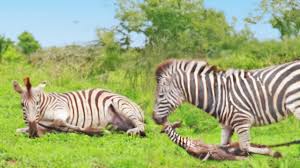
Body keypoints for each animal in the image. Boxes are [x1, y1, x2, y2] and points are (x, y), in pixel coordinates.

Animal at [13, 77, 145, 138]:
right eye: (22, 105)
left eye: (37, 103)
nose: (33, 133)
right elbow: (18, 131)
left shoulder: (61, 108)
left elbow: (58, 122)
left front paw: (96, 131)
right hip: (118, 124)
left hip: (121, 105)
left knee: (141, 126)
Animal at [154, 59, 300, 156]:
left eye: (161, 95)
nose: (154, 118)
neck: (218, 96)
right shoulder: (226, 126)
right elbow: (222, 147)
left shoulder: (242, 121)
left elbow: (245, 147)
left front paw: (272, 153)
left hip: (296, 104)